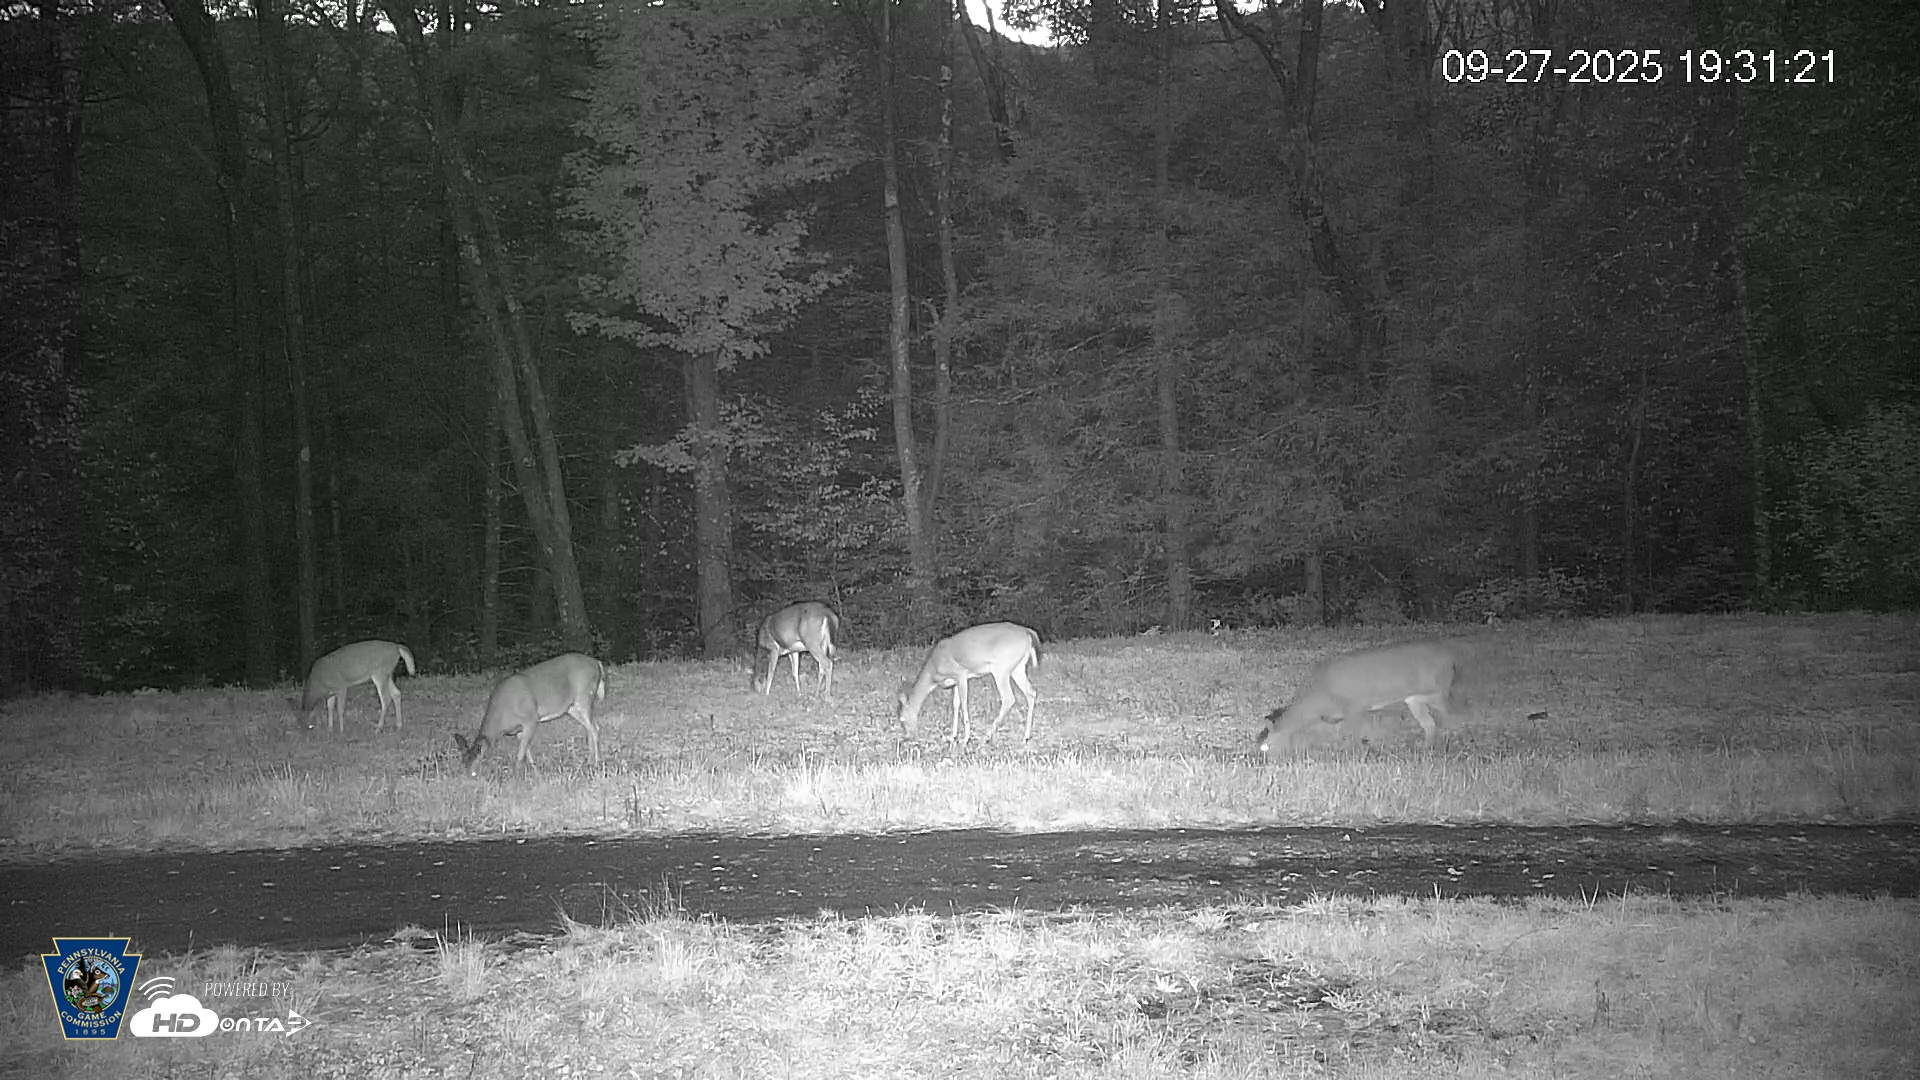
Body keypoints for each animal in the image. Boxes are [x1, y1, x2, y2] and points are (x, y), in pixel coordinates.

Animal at [454, 653, 607, 776]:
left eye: (474, 771)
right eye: (463, 765)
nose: (468, 779)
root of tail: (597, 663)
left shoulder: (531, 718)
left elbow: (522, 751)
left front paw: (516, 773)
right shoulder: (519, 730)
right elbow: (526, 748)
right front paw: (534, 770)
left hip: (584, 695)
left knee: (595, 727)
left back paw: (597, 761)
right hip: (572, 707)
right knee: (590, 727)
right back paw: (589, 760)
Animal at [896, 622, 1042, 743]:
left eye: (902, 720)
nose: (908, 737)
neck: (933, 671)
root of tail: (1027, 632)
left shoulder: (960, 674)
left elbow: (964, 703)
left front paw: (966, 737)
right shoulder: (955, 681)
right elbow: (955, 704)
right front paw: (953, 735)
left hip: (1001, 668)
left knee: (1009, 698)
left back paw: (987, 736)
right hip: (1018, 667)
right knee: (1031, 692)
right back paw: (1026, 736)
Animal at [1256, 640, 1461, 754]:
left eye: (1267, 745)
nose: (1266, 760)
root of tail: (1450, 658)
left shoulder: (1355, 705)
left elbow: (1353, 733)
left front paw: (1357, 752)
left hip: (1439, 690)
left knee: (1451, 716)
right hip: (1414, 698)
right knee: (1430, 724)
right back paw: (1425, 748)